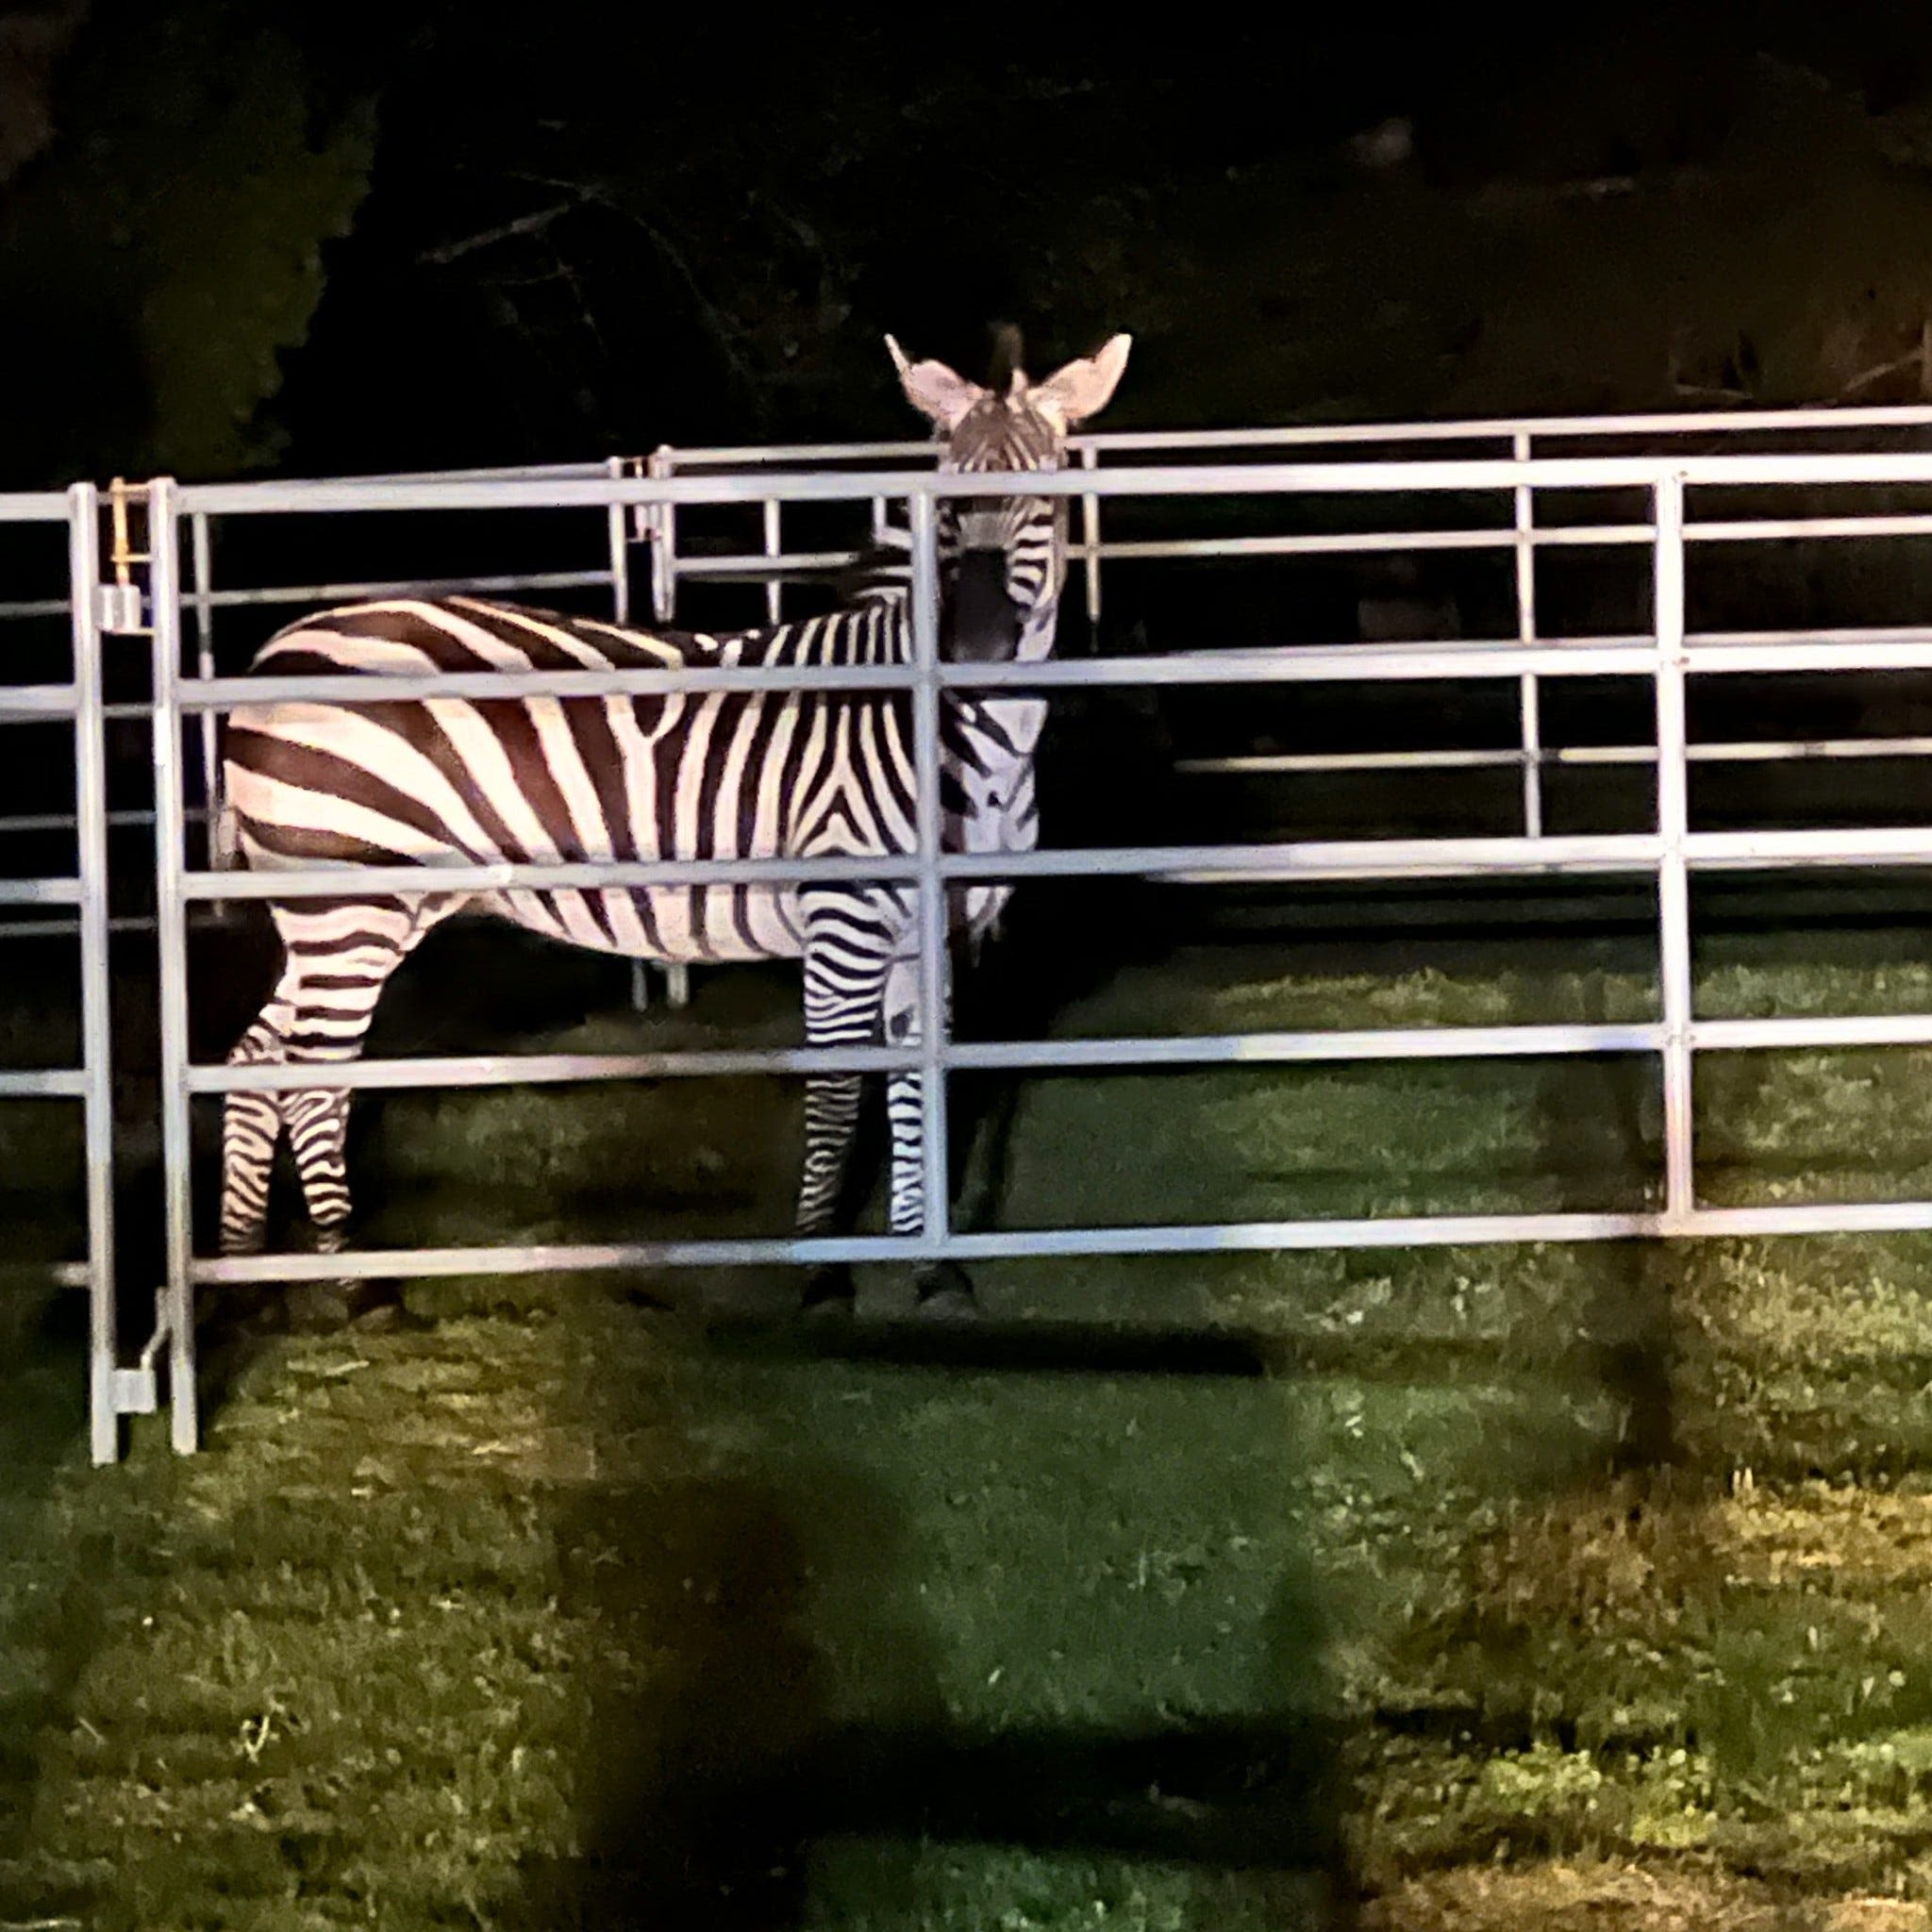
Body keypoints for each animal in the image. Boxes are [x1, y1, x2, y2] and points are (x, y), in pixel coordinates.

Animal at [221, 332, 1128, 1329]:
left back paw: (240, 1274)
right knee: (311, 1077)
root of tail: (275, 651)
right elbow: (836, 1094)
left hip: (345, 913)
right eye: (946, 503)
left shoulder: (928, 934)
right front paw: (821, 1269)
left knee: (255, 1059)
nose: (974, 644)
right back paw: (358, 1286)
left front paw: (931, 1268)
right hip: (350, 903)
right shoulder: (842, 920)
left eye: (1045, 502)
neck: (951, 732)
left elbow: (918, 1084)